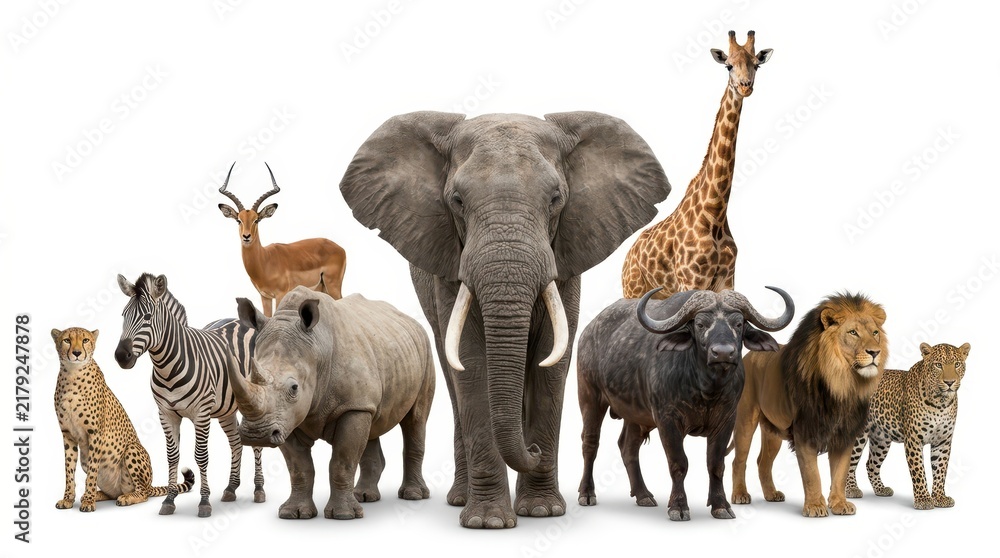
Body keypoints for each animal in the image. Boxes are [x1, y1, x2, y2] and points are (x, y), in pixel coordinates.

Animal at [114, 272, 265, 517]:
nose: (120, 356)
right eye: (123, 316)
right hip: (226, 408)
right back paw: (231, 488)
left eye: (147, 317)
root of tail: (240, 321)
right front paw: (169, 499)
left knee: (256, 444)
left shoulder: (201, 413)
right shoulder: (166, 414)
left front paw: (204, 502)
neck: (167, 367)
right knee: (235, 442)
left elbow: (201, 456)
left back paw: (259, 489)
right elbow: (172, 456)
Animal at [339, 111, 670, 528]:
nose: (533, 450)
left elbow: (551, 360)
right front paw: (488, 521)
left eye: (556, 199)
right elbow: (470, 360)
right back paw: (459, 498)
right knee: (452, 377)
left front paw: (543, 511)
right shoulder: (449, 263)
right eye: (457, 201)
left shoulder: (567, 254)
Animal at [729, 292, 887, 517]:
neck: (843, 383)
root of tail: (749, 354)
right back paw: (740, 495)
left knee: (763, 462)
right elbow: (812, 474)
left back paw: (771, 494)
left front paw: (839, 504)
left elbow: (840, 473)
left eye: (875, 332)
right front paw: (815, 506)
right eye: (853, 332)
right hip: (745, 420)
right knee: (738, 460)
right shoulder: (805, 431)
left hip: (773, 430)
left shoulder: (845, 433)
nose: (875, 352)